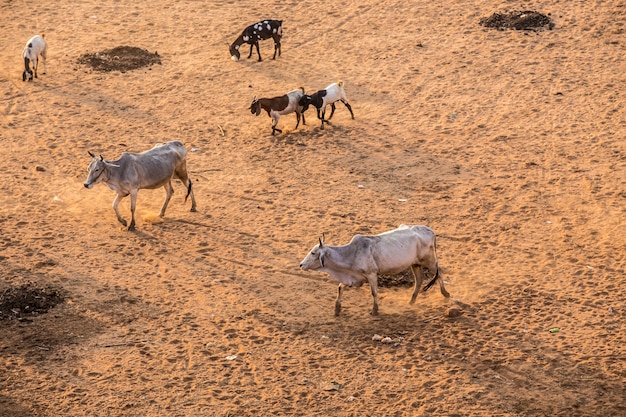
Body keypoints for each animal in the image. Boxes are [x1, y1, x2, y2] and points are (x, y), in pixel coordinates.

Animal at [298, 224, 448, 316]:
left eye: (313, 253)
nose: (301, 264)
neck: (351, 253)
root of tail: (430, 230)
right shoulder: (353, 276)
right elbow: (340, 287)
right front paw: (337, 309)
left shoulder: (372, 274)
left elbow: (374, 292)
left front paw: (375, 311)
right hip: (415, 264)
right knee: (419, 280)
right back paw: (411, 301)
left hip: (429, 261)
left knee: (439, 272)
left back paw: (445, 293)